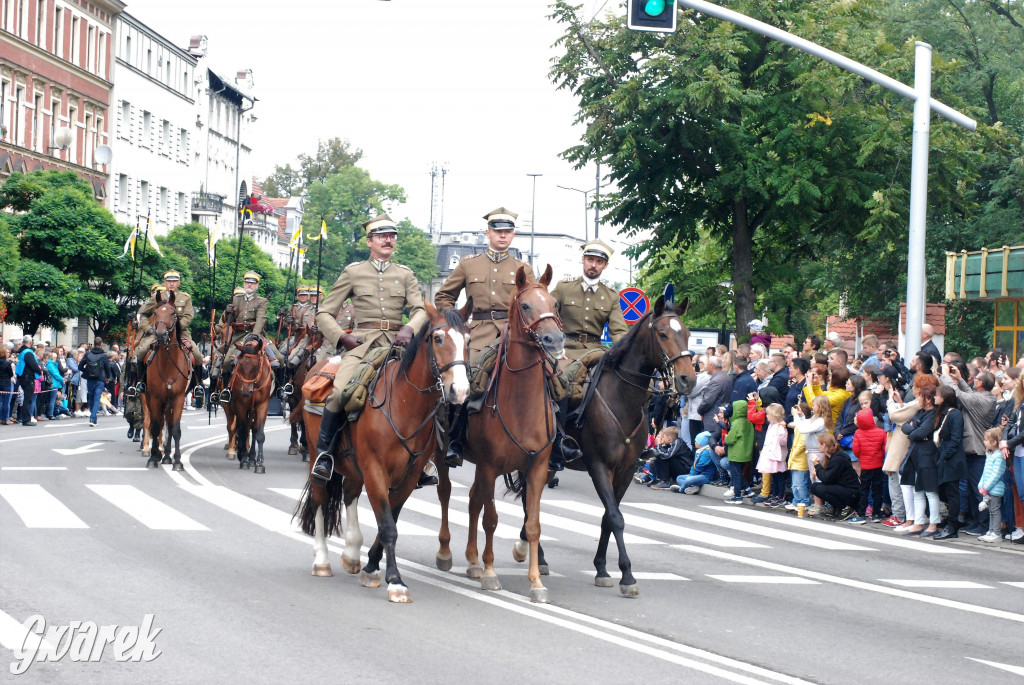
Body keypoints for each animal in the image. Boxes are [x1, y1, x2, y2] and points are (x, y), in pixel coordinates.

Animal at [141, 288, 194, 471]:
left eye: (172, 313)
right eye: (155, 313)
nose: (160, 334)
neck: (167, 363)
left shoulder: (178, 398)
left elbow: (175, 429)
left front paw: (177, 461)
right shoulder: (155, 398)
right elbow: (155, 427)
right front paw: (153, 458)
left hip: (170, 402)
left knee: (170, 427)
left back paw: (167, 456)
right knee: (155, 424)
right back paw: (159, 454)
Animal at [223, 333, 274, 473]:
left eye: (256, 365)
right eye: (239, 364)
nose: (246, 392)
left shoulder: (263, 405)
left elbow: (259, 433)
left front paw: (259, 463)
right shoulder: (241, 405)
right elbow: (243, 431)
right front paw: (244, 460)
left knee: (253, 429)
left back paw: (252, 458)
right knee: (239, 428)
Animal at [296, 301, 471, 602]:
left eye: (468, 341)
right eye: (438, 338)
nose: (459, 391)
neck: (405, 406)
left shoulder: (408, 477)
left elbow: (391, 519)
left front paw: (371, 567)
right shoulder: (376, 471)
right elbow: (388, 526)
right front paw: (395, 581)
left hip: (354, 466)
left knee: (350, 494)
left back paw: (352, 552)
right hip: (318, 458)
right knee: (319, 499)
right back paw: (322, 560)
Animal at [432, 264, 565, 602]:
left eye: (554, 304)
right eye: (526, 305)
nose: (555, 340)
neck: (520, 403)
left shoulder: (537, 468)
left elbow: (533, 524)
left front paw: (536, 582)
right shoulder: (492, 466)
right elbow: (491, 519)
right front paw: (491, 573)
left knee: (472, 501)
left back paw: (472, 561)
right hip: (443, 454)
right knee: (446, 493)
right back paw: (447, 553)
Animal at [512, 290, 696, 593]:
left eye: (688, 333)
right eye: (662, 334)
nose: (687, 380)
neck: (621, 398)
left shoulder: (626, 470)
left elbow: (609, 517)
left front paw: (601, 568)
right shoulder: (599, 466)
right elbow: (616, 518)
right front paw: (627, 575)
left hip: (549, 464)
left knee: (532, 499)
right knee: (529, 500)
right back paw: (530, 552)